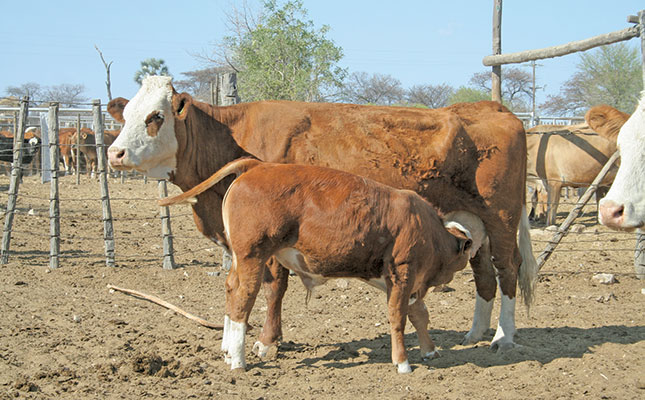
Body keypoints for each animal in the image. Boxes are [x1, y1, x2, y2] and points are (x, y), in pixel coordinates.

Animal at [158, 158, 486, 374]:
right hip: (253, 256)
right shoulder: (403, 273)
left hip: (240, 258)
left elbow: (419, 315)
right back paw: (238, 361)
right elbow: (398, 318)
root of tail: (260, 166)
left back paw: (228, 350)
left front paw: (430, 350)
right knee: (243, 298)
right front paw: (403, 362)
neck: (426, 227)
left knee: (230, 290)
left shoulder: (405, 282)